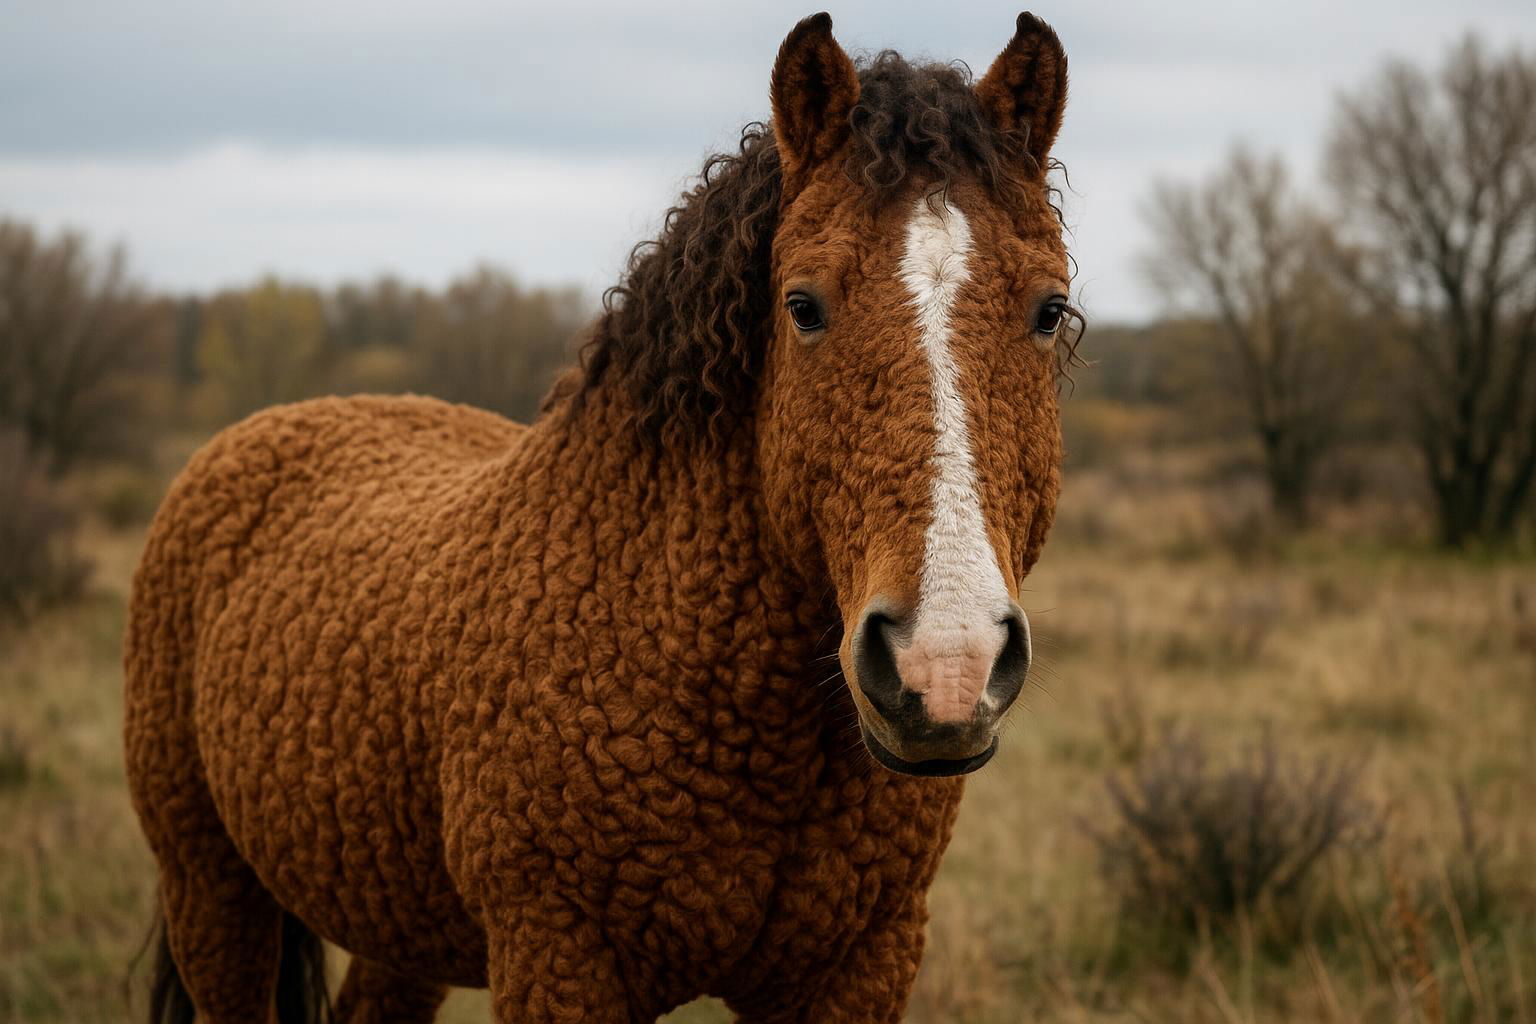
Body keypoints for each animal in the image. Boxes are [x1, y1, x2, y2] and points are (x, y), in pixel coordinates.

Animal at [124, 11, 1077, 1023]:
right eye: (803, 306)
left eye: (1050, 309)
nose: (945, 666)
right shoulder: (561, 960)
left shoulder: (860, 967)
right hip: (211, 890)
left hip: (398, 933)